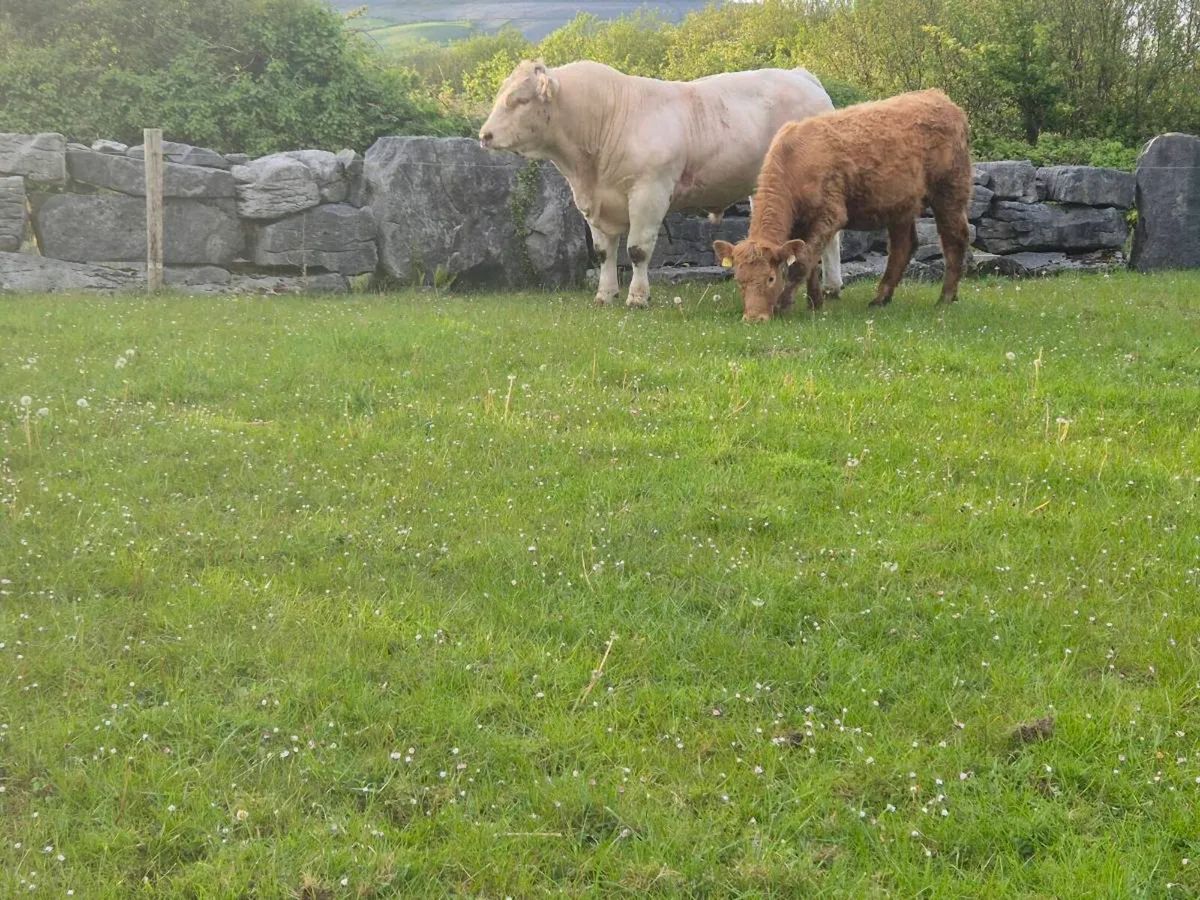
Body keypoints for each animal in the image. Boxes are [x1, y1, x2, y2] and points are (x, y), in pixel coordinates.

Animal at [479, 59, 843, 309]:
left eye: (521, 99)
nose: (485, 135)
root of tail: (801, 75)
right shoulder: (593, 203)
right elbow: (603, 252)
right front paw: (605, 294)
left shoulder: (649, 192)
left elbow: (637, 250)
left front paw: (638, 297)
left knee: (830, 237)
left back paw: (831, 285)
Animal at [714, 89, 972, 322]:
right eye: (739, 280)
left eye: (770, 278)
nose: (754, 318)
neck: (795, 161)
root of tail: (939, 97)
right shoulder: (800, 224)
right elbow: (809, 263)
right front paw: (815, 302)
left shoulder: (831, 215)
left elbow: (802, 263)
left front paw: (784, 304)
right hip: (900, 204)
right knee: (903, 247)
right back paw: (881, 298)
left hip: (950, 191)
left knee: (954, 239)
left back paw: (945, 297)